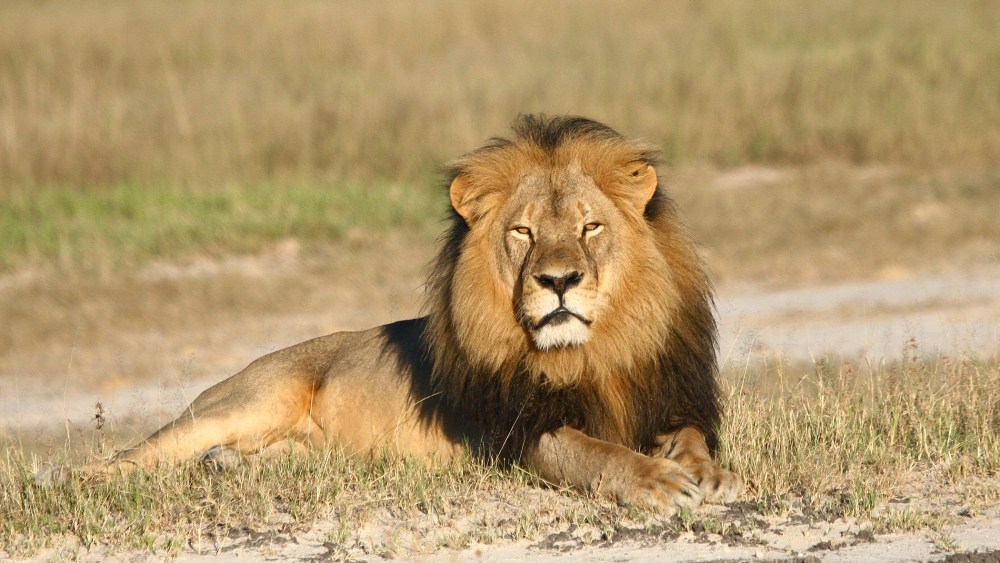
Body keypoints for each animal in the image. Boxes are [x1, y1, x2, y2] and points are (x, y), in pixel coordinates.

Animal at [41, 115, 741, 513]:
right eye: (522, 233)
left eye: (590, 227)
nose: (559, 281)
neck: (593, 353)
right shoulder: (518, 434)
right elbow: (595, 454)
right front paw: (658, 482)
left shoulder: (667, 398)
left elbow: (692, 438)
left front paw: (709, 475)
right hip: (244, 400)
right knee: (137, 455)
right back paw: (68, 480)